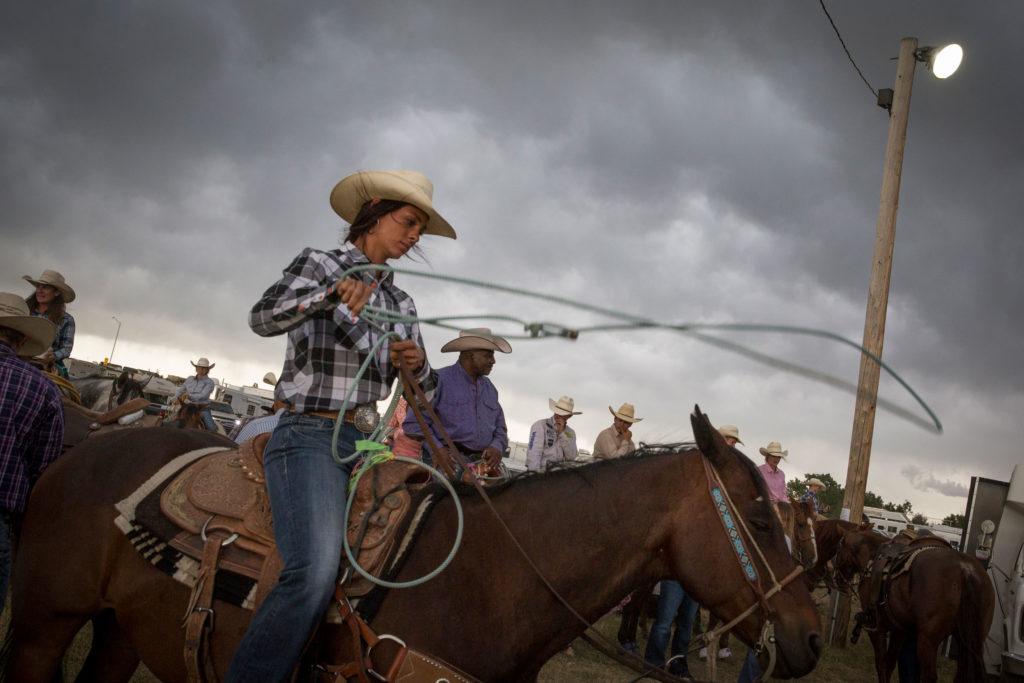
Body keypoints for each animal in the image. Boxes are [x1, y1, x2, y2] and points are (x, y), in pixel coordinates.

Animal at [6, 409, 823, 679]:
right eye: (759, 518)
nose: (811, 639)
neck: (493, 580)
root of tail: (80, 449)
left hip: (121, 631)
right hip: (44, 623)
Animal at [831, 528, 991, 679]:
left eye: (838, 550)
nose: (837, 579)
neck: (872, 557)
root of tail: (966, 570)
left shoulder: (876, 626)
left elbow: (881, 664)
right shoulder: (899, 629)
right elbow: (889, 664)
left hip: (928, 641)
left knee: (928, 676)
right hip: (969, 642)